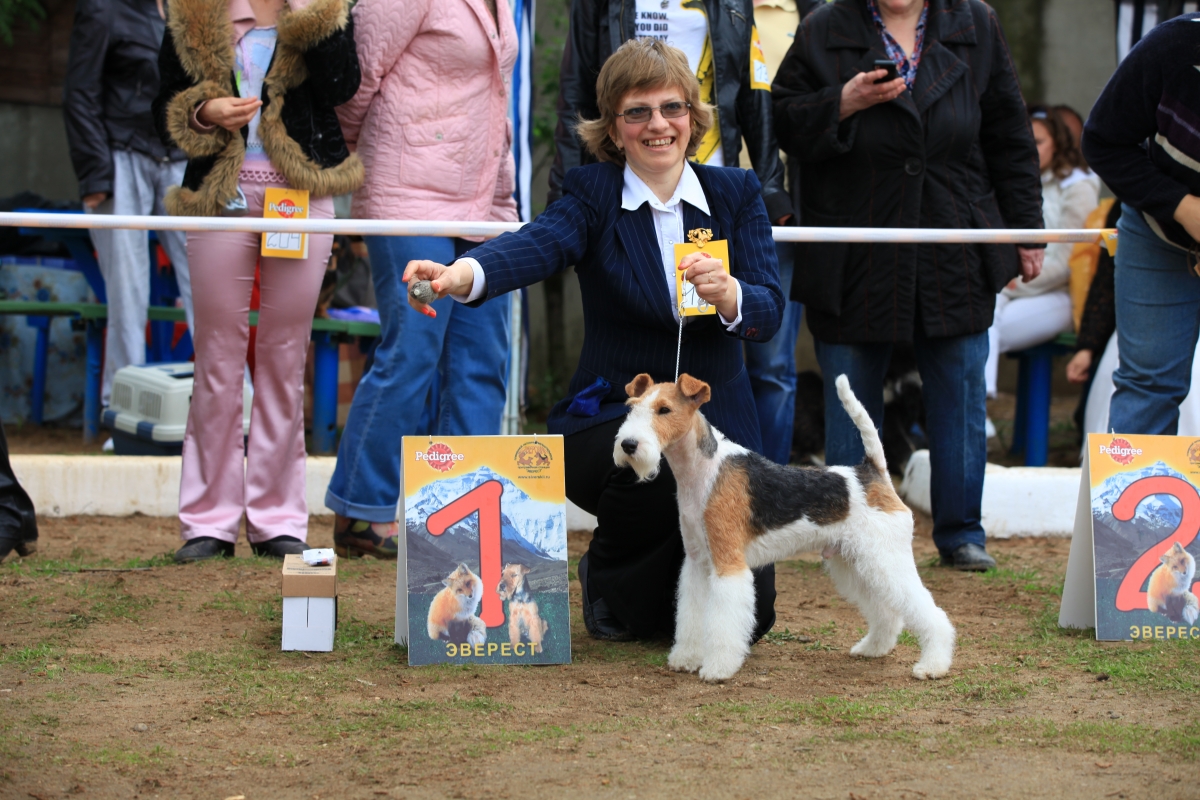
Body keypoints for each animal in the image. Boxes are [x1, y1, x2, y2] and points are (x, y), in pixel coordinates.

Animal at [614, 374, 950, 681]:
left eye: (664, 410)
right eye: (631, 407)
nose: (628, 445)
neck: (703, 471)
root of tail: (872, 472)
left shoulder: (728, 562)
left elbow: (724, 621)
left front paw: (717, 668)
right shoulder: (697, 562)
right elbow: (690, 613)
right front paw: (685, 658)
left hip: (884, 558)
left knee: (930, 612)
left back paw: (932, 665)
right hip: (855, 562)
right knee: (887, 612)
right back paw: (873, 648)